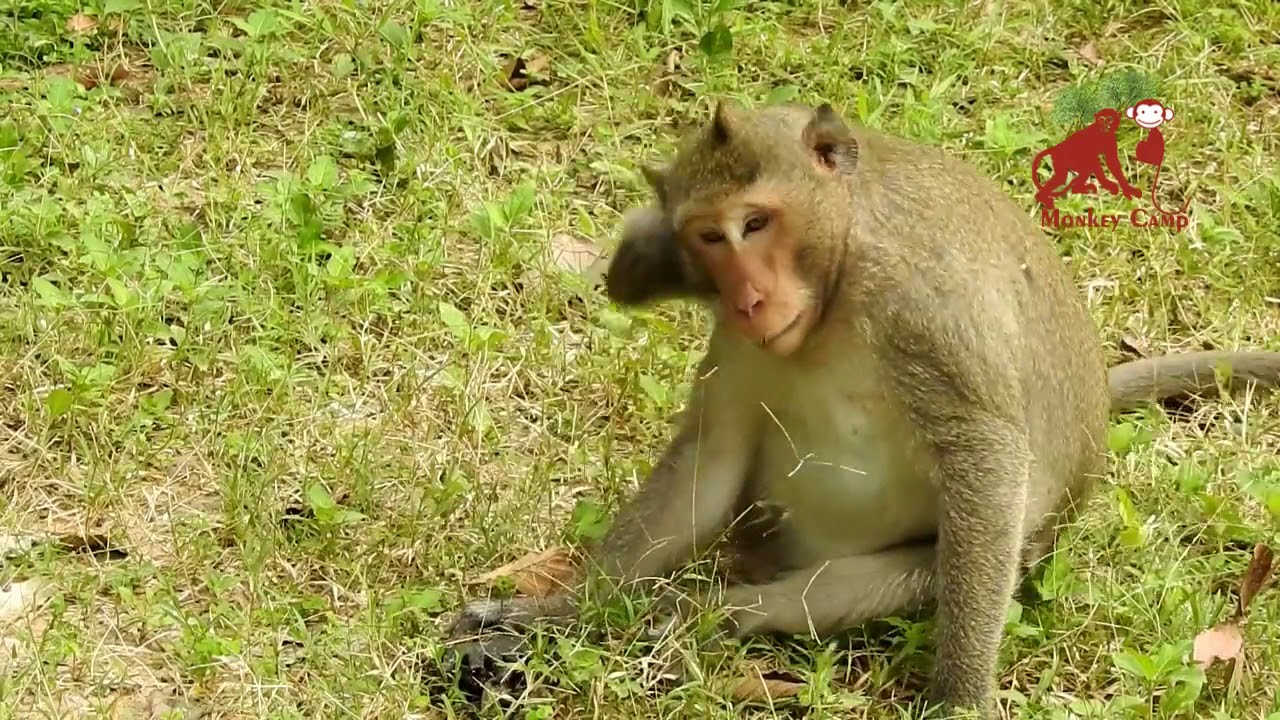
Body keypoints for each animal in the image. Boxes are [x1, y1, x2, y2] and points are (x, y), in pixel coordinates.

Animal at [443, 101, 1280, 717]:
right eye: (711, 236)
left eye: (756, 223)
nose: (749, 297)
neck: (839, 278)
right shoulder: (743, 341)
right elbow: (712, 459)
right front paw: (569, 609)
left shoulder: (924, 305)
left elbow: (983, 452)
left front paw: (960, 699)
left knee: (892, 576)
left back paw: (715, 618)